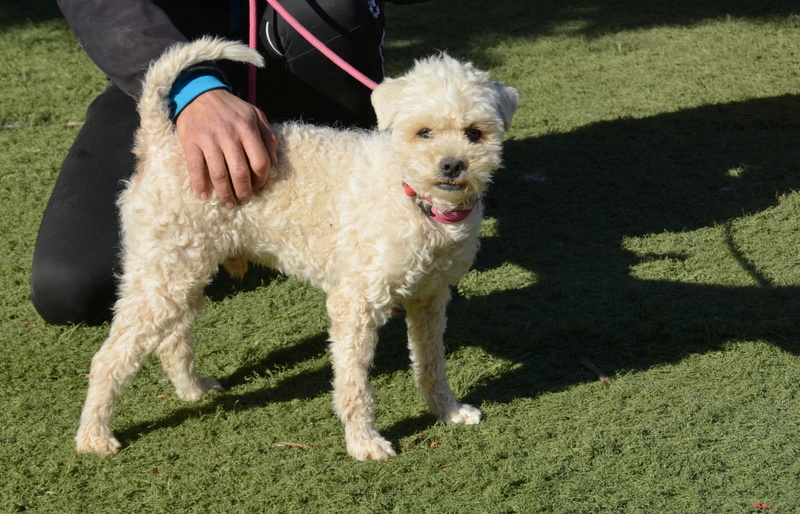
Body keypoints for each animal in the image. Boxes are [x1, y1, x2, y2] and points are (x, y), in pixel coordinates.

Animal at [76, 37, 520, 460]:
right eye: (423, 132)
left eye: (474, 133)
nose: (452, 165)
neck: (414, 199)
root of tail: (161, 143)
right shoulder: (356, 303)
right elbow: (355, 385)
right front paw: (364, 443)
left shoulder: (430, 297)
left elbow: (431, 362)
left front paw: (448, 411)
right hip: (164, 276)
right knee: (108, 358)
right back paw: (94, 437)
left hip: (181, 270)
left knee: (172, 339)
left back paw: (193, 389)